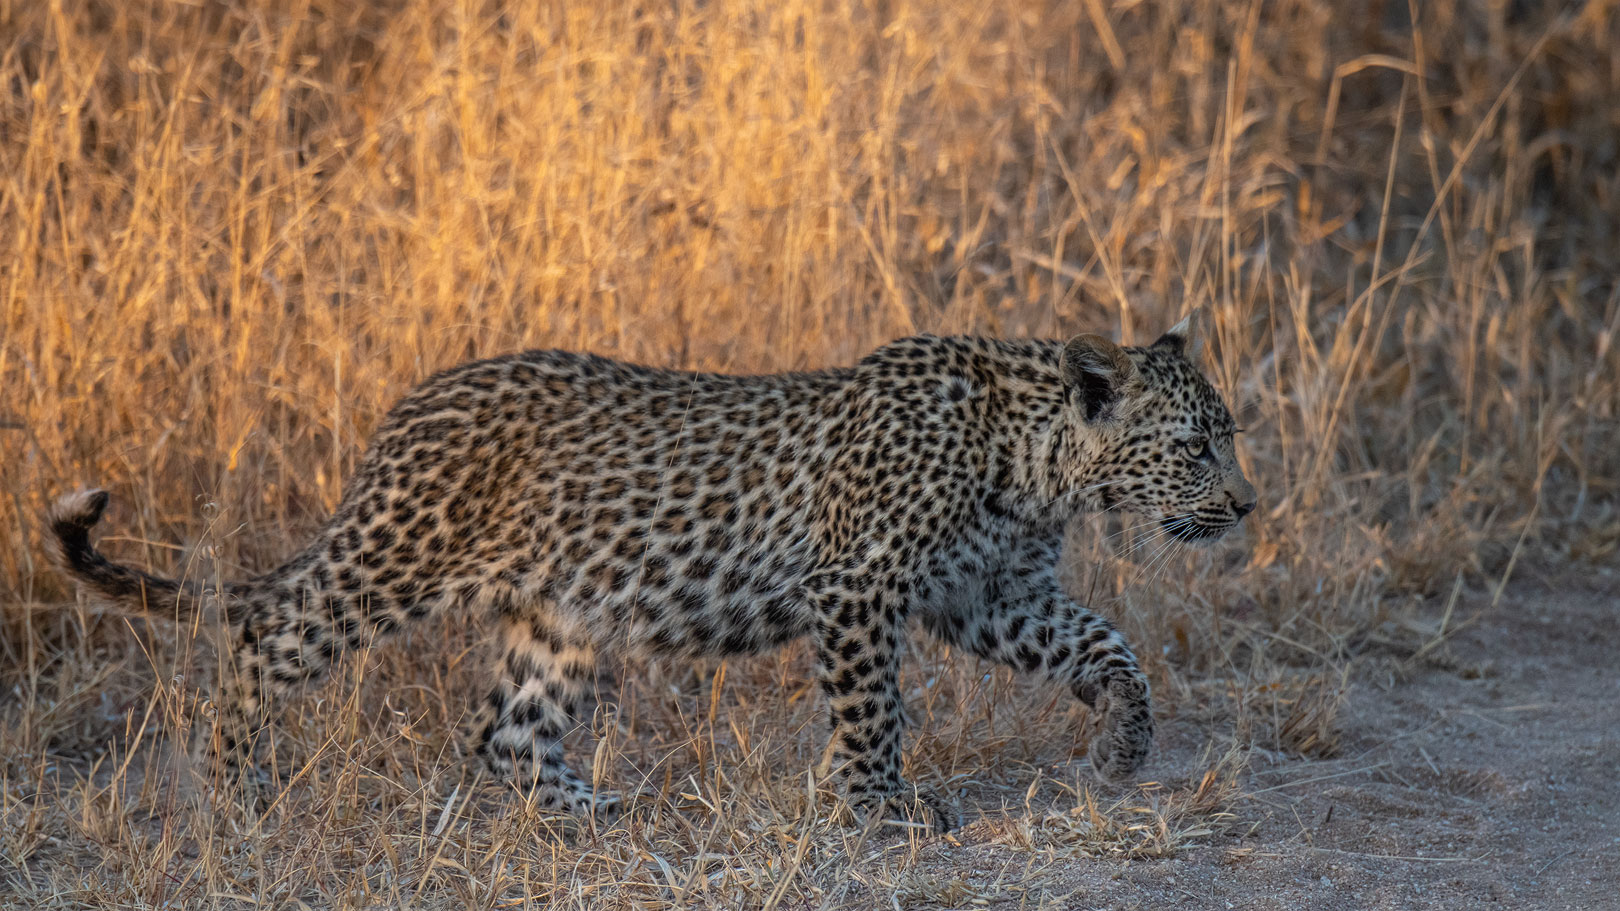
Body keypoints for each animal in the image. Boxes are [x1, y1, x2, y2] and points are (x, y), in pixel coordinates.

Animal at [38, 311, 1250, 829]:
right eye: (1198, 447)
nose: (1245, 504)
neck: (1036, 459)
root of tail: (402, 414)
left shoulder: (991, 594)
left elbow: (1109, 642)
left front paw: (1124, 741)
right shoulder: (859, 587)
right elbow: (875, 711)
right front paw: (880, 809)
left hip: (561, 614)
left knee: (508, 731)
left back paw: (597, 812)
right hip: (393, 558)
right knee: (265, 636)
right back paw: (237, 788)